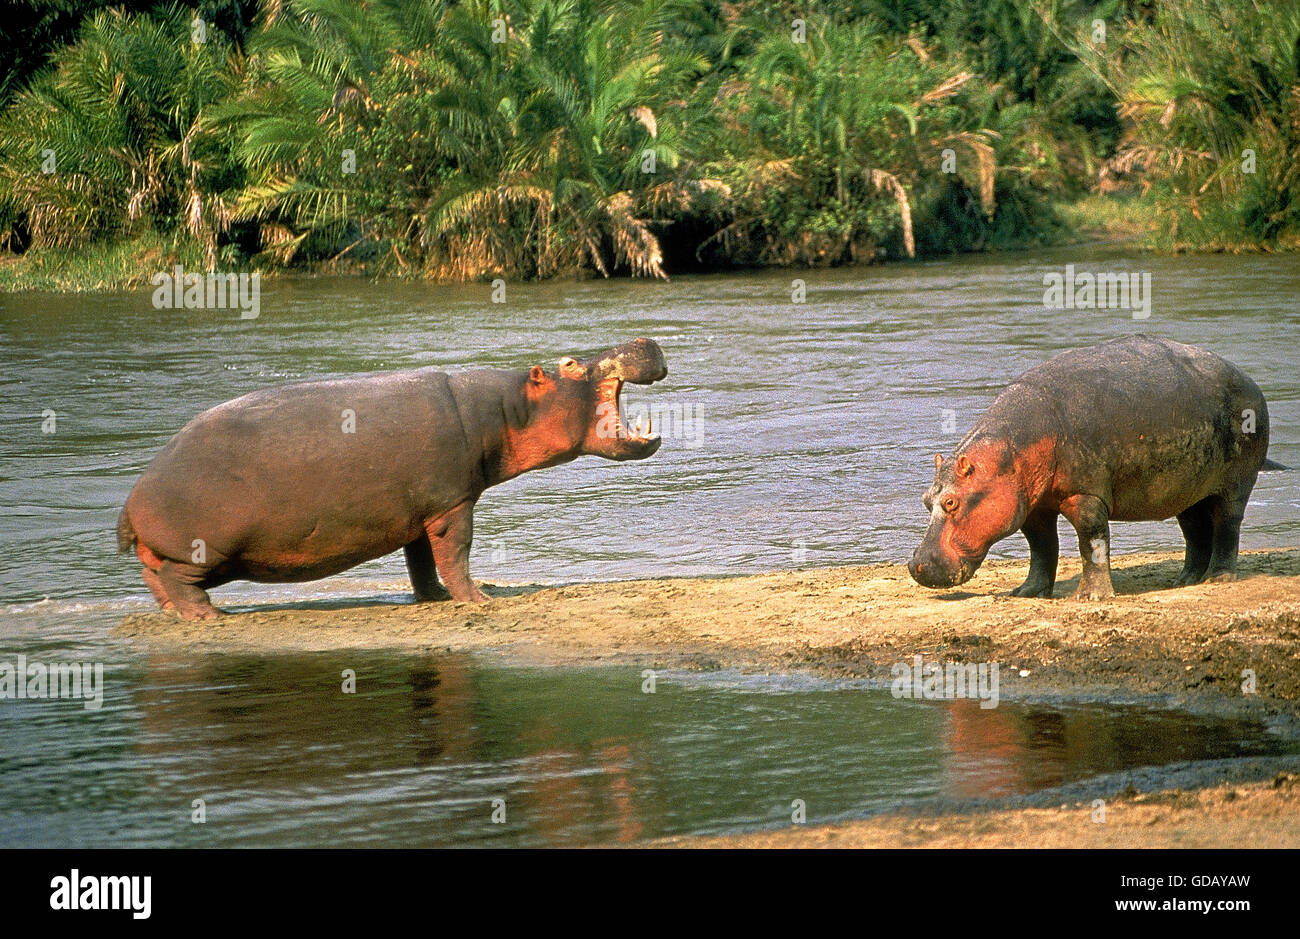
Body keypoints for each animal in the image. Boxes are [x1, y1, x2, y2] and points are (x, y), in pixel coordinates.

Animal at [118, 339, 667, 619]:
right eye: (570, 364)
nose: (644, 340)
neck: (507, 408)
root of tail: (134, 497)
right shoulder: (452, 502)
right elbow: (456, 553)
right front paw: (479, 601)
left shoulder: (419, 510)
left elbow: (422, 561)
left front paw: (434, 599)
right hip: (198, 549)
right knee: (180, 581)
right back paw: (210, 617)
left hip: (167, 554)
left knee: (155, 580)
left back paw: (178, 616)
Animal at [908, 335, 1283, 599]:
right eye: (926, 500)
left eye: (951, 502)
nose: (914, 565)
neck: (1009, 454)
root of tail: (1248, 378)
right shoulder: (1032, 507)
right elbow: (1041, 549)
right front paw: (1026, 592)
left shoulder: (1085, 496)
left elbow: (1092, 542)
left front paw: (1091, 597)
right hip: (1188, 488)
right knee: (1195, 530)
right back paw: (1185, 581)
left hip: (1236, 482)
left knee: (1227, 525)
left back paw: (1218, 578)